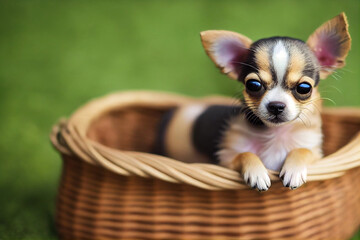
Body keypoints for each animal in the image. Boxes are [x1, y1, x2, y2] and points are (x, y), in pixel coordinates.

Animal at [156, 13, 350, 191]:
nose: (276, 106)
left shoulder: (318, 155)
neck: (276, 134)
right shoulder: (225, 160)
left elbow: (303, 149)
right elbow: (245, 154)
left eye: (304, 88)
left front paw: (294, 169)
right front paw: (257, 173)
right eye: (253, 85)